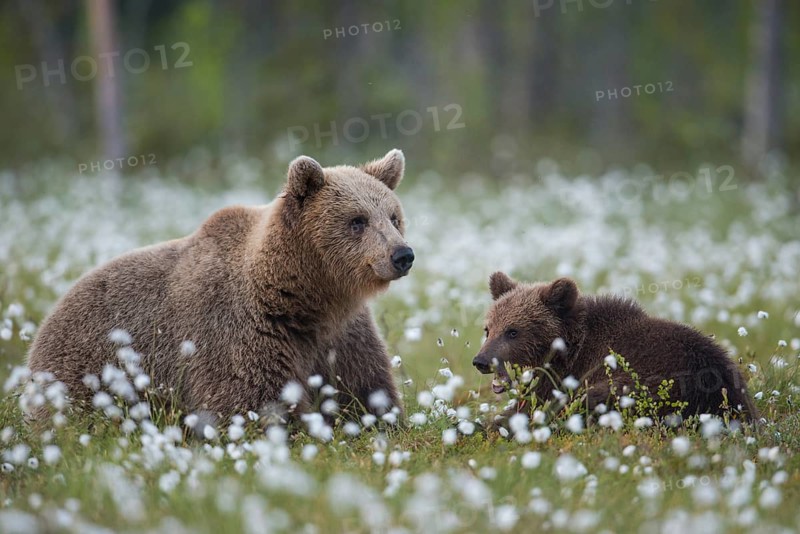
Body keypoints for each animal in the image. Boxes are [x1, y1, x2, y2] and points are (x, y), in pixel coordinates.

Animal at [26, 149, 414, 423]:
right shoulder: (238, 329)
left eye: (393, 217)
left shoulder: (341, 336)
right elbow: (250, 401)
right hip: (88, 370)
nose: (402, 255)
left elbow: (365, 389)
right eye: (357, 221)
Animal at [472, 273, 758, 423]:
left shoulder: (571, 375)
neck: (571, 349)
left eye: (513, 331)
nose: (481, 361)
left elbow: (530, 408)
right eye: (488, 329)